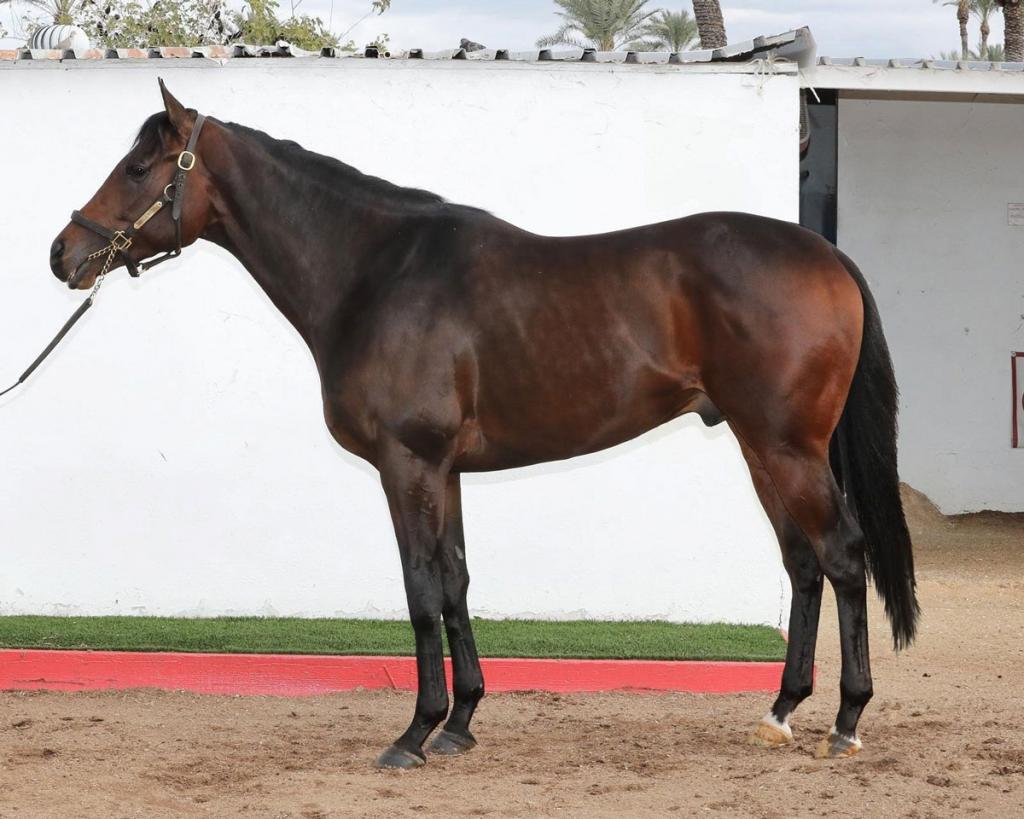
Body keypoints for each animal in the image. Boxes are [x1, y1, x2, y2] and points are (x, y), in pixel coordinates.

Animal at [48, 80, 918, 769]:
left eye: (137, 168)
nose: (63, 254)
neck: (374, 270)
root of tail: (828, 257)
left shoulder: (408, 463)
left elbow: (420, 587)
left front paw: (415, 731)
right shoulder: (448, 470)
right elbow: (459, 580)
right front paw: (462, 721)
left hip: (784, 447)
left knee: (842, 555)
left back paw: (845, 720)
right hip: (762, 448)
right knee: (804, 563)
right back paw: (781, 711)